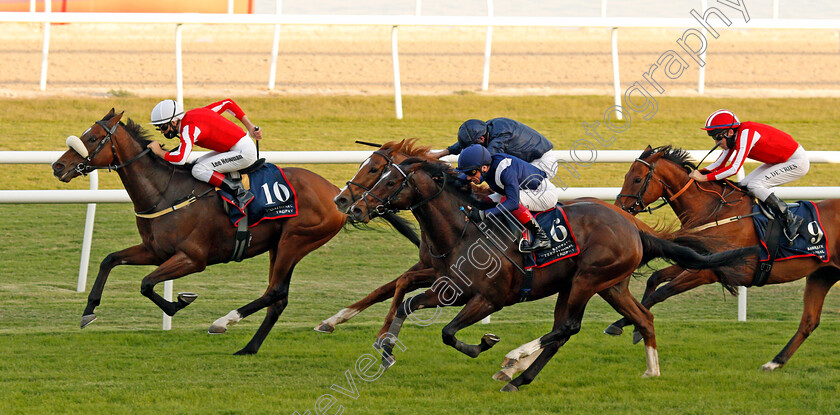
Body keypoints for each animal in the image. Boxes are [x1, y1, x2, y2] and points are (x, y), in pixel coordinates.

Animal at [50, 109, 418, 356]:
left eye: (92, 138)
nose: (57, 166)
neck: (165, 191)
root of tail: (337, 193)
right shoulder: (155, 251)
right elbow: (109, 260)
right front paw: (88, 311)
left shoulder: (192, 258)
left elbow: (146, 284)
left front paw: (179, 303)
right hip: (279, 246)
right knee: (278, 298)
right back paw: (250, 346)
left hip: (296, 241)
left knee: (275, 292)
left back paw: (224, 322)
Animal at [348, 158, 756, 392]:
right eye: (377, 174)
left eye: (387, 180)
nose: (354, 208)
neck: (464, 230)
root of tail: (632, 225)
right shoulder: (450, 290)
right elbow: (409, 304)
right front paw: (385, 349)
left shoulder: (488, 299)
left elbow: (449, 333)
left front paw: (485, 343)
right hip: (608, 285)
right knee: (639, 318)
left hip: (587, 280)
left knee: (567, 327)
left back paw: (513, 363)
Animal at [612, 145, 840, 370]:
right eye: (626, 175)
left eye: (637, 179)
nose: (619, 208)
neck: (715, 213)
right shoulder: (699, 258)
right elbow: (655, 278)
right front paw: (632, 326)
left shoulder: (709, 271)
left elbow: (662, 292)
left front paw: (621, 325)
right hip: (822, 275)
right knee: (809, 321)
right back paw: (774, 362)